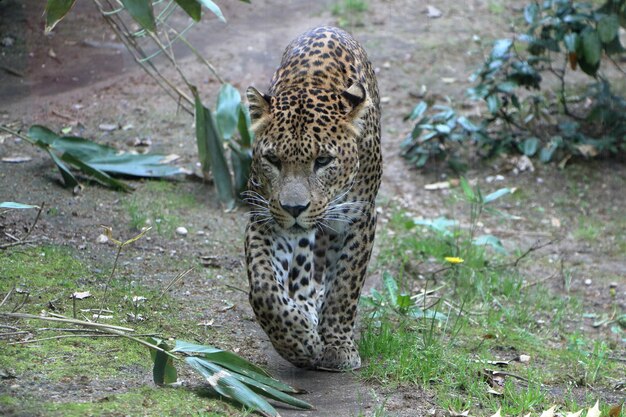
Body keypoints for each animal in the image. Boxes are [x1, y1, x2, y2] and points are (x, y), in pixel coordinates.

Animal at [244, 26, 380, 368]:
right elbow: (264, 287)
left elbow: (345, 285)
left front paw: (338, 346)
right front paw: (298, 341)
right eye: (273, 159)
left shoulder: (359, 218)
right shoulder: (265, 217)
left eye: (323, 161)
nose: (294, 208)